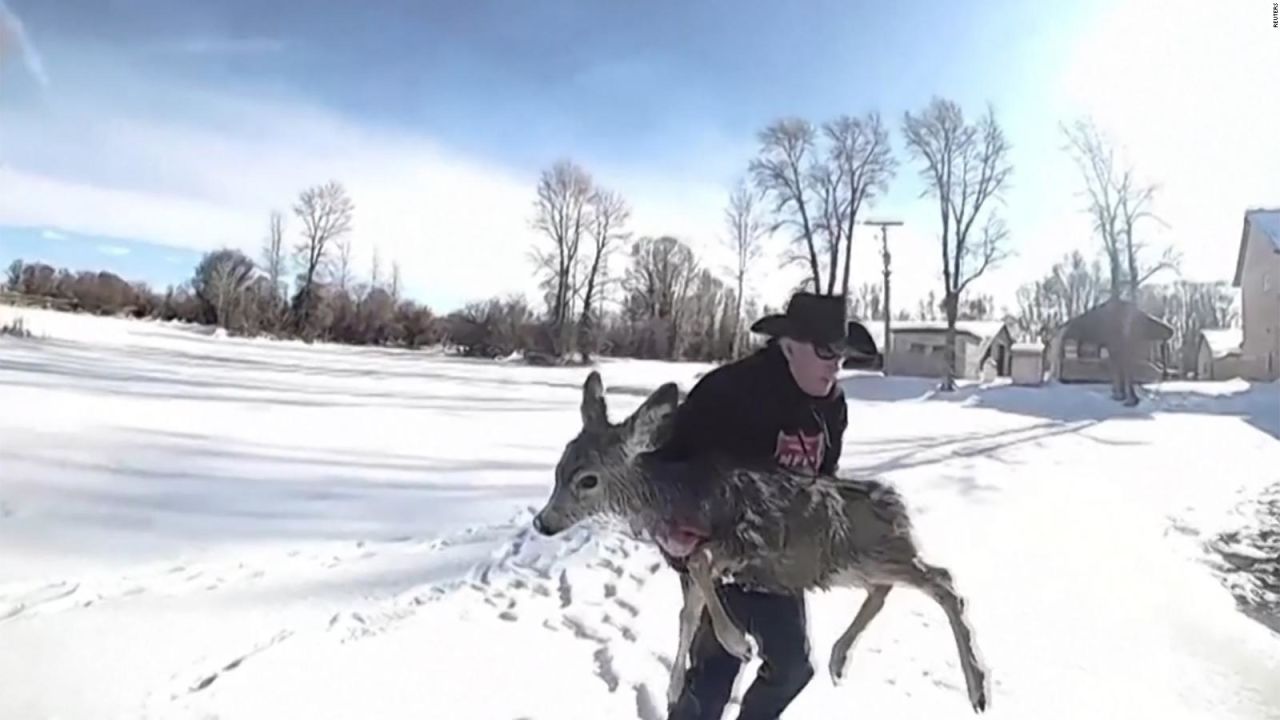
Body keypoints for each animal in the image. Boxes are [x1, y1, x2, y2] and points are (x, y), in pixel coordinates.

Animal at [529, 371, 988, 707]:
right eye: (558, 470)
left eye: (587, 480)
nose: (542, 523)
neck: (674, 497)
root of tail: (896, 504)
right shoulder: (700, 554)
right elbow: (688, 613)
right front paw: (674, 687)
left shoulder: (740, 538)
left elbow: (701, 577)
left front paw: (739, 643)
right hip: (849, 563)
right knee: (887, 588)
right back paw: (839, 658)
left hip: (875, 550)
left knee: (943, 581)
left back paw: (978, 688)